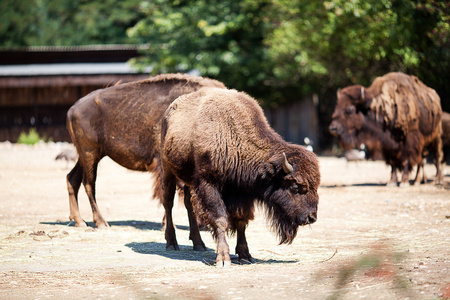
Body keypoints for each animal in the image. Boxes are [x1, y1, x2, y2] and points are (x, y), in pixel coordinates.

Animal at [65, 73, 227, 251]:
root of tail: (73, 109)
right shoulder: (164, 167)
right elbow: (167, 196)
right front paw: (168, 227)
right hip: (90, 153)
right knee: (89, 183)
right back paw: (101, 222)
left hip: (87, 155)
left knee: (72, 178)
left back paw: (79, 221)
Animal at [161, 87, 320, 268]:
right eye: (295, 186)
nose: (311, 217)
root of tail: (169, 111)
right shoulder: (209, 185)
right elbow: (220, 219)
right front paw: (223, 259)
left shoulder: (242, 193)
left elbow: (241, 222)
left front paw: (245, 255)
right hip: (168, 170)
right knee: (168, 202)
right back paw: (171, 243)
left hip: (188, 180)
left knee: (189, 204)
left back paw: (199, 244)